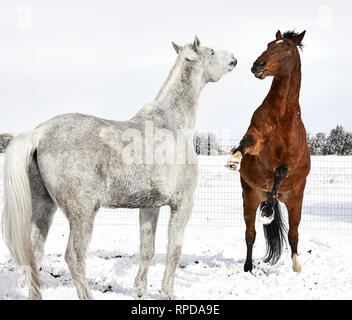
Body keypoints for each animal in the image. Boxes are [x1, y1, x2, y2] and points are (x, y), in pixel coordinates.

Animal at [1, 37, 236, 300]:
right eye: (212, 51)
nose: (234, 59)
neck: (171, 124)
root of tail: (39, 133)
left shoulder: (150, 207)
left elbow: (147, 248)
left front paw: (141, 290)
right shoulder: (182, 203)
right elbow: (174, 249)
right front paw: (168, 292)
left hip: (44, 207)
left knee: (34, 254)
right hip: (83, 213)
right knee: (74, 256)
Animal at [227, 30, 310, 272]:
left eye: (287, 48)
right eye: (269, 44)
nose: (258, 65)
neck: (281, 115)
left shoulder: (291, 157)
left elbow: (280, 171)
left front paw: (268, 210)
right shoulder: (256, 138)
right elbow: (245, 142)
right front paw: (233, 160)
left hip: (295, 200)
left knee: (293, 235)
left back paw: (296, 265)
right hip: (250, 197)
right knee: (250, 234)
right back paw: (248, 267)